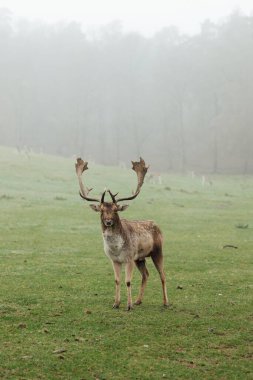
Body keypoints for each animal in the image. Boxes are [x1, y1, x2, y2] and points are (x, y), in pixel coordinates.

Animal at [75, 157, 170, 308]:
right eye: (101, 210)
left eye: (115, 209)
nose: (108, 221)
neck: (116, 249)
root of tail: (157, 225)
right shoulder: (114, 260)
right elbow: (117, 280)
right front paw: (116, 303)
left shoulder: (129, 258)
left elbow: (128, 281)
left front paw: (128, 306)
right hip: (140, 258)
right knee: (146, 274)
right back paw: (138, 300)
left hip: (157, 251)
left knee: (163, 275)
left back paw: (165, 302)